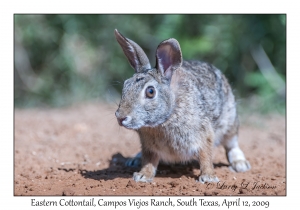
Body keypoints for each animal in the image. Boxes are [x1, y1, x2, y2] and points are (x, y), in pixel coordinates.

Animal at [113, 28, 250, 183]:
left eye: (150, 91)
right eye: (125, 85)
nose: (120, 117)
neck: (168, 115)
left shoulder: (204, 134)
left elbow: (206, 156)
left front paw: (208, 177)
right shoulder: (149, 147)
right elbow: (149, 160)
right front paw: (143, 176)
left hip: (230, 120)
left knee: (231, 144)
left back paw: (240, 164)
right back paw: (134, 160)